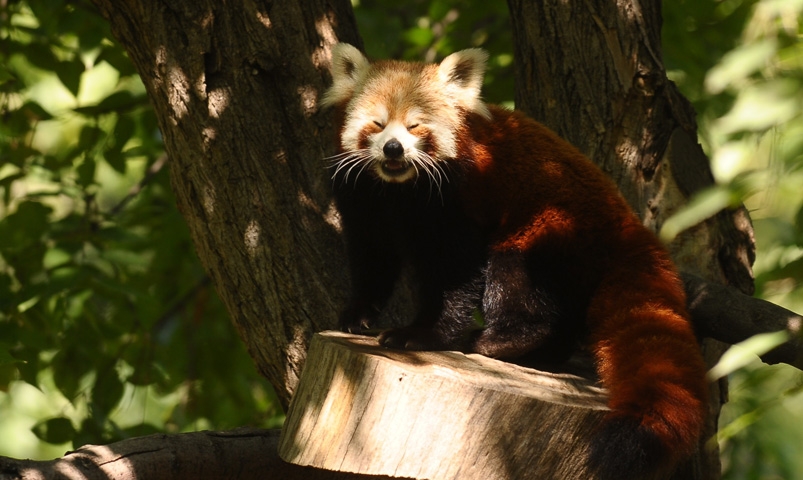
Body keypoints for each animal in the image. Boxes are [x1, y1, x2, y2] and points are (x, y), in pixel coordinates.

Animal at [320, 43, 708, 478]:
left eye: (416, 127)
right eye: (377, 123)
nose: (393, 148)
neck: (397, 190)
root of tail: (626, 224)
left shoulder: (454, 199)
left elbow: (455, 270)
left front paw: (422, 333)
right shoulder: (361, 197)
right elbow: (373, 258)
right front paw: (358, 314)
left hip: (549, 228)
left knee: (516, 279)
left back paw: (496, 341)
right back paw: (542, 354)